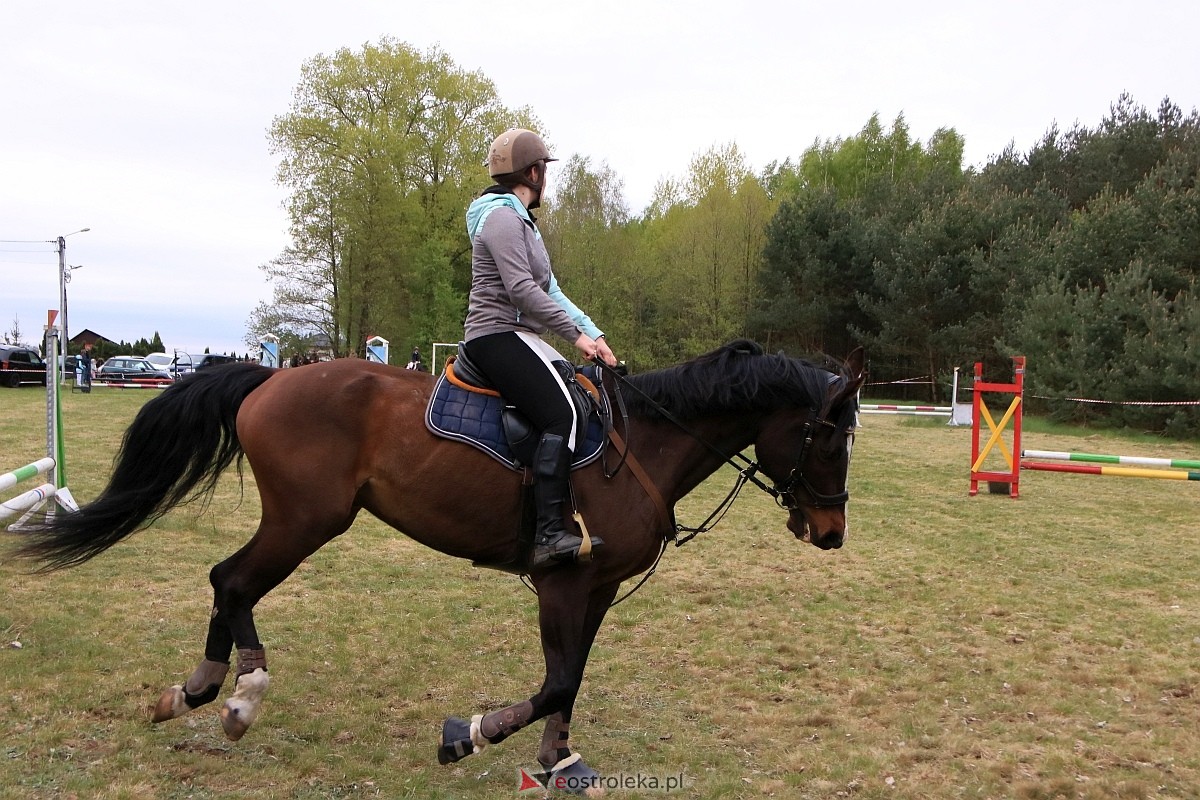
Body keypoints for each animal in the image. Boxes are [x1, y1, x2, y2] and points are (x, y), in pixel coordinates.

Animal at [16, 338, 864, 786]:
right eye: (827, 436)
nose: (831, 532)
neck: (643, 445)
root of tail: (273, 376)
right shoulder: (562, 582)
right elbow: (555, 680)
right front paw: (470, 733)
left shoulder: (597, 589)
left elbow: (571, 681)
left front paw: (559, 761)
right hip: (305, 521)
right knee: (232, 580)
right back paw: (230, 693)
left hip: (301, 521)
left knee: (230, 583)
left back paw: (203, 691)